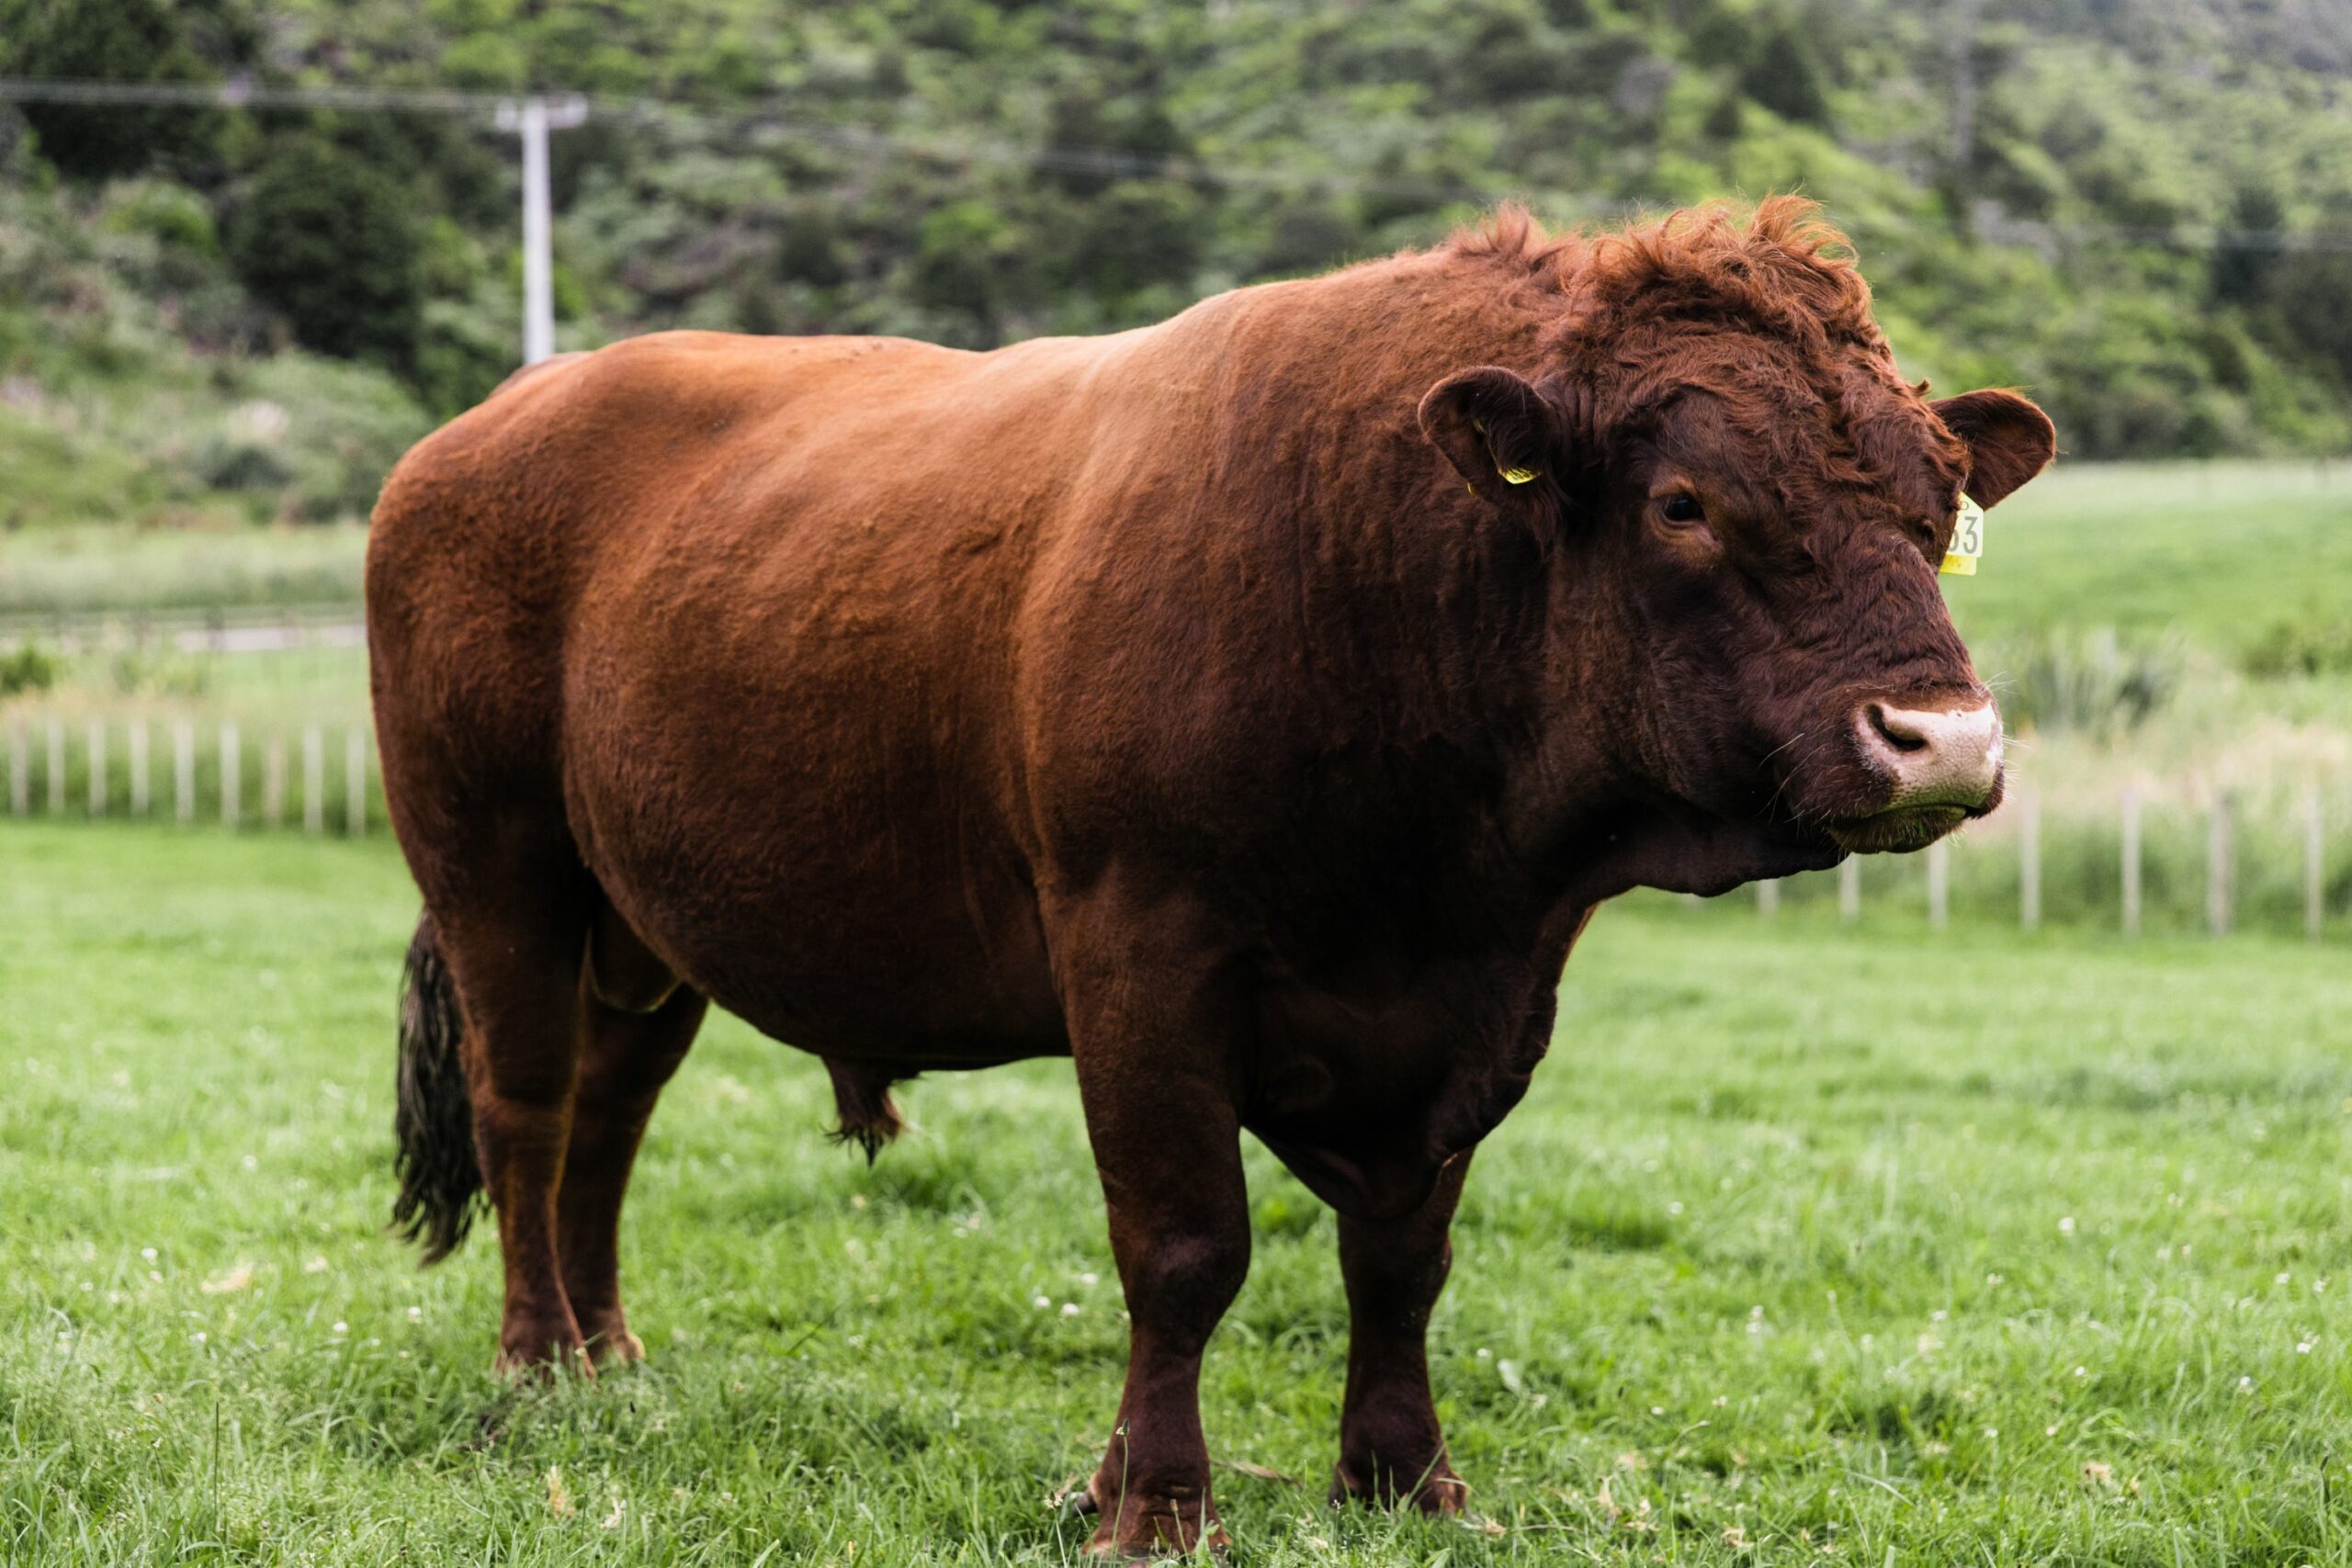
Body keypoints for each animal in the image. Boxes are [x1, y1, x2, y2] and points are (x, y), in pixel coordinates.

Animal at [366, 197, 2052, 1558]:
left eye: (1937, 506)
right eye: (1685, 502)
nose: (1944, 737)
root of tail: (491, 419)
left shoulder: (1489, 991)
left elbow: (1405, 1255)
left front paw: (1401, 1480)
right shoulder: (1139, 956)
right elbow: (1185, 1249)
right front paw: (1161, 1504)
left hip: (644, 922)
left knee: (611, 1115)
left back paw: (611, 1351)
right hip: (496, 867)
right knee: (529, 1109)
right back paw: (536, 1360)